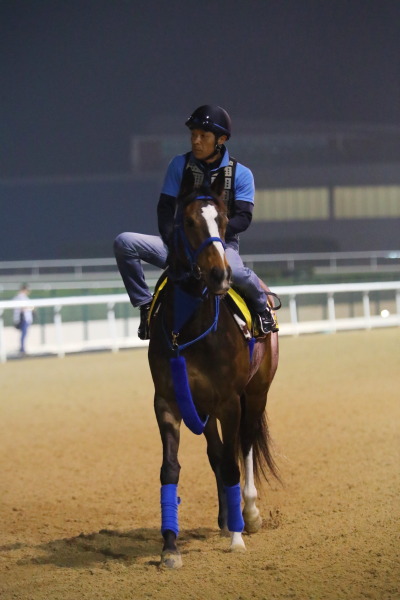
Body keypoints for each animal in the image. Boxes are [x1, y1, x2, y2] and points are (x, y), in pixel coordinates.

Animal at [148, 169, 282, 568]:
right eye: (189, 221)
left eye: (222, 221)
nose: (219, 274)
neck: (188, 330)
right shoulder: (169, 401)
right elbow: (172, 468)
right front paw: (170, 546)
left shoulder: (229, 401)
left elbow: (233, 461)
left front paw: (237, 538)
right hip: (205, 406)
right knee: (218, 453)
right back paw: (226, 518)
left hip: (256, 393)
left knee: (245, 444)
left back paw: (247, 515)